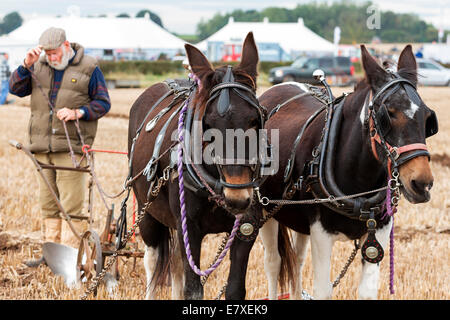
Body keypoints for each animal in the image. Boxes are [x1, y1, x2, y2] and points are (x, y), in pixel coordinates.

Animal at [126, 33, 268, 300]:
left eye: (255, 120)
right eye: (209, 125)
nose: (237, 197)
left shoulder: (246, 228)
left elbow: (235, 288)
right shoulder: (189, 229)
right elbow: (192, 289)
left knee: (175, 267)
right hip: (147, 210)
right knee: (153, 262)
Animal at [256, 43, 436, 298]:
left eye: (427, 116)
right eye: (388, 113)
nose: (422, 183)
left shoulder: (378, 233)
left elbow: (367, 292)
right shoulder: (321, 233)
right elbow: (322, 290)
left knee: (298, 261)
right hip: (266, 210)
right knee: (273, 262)